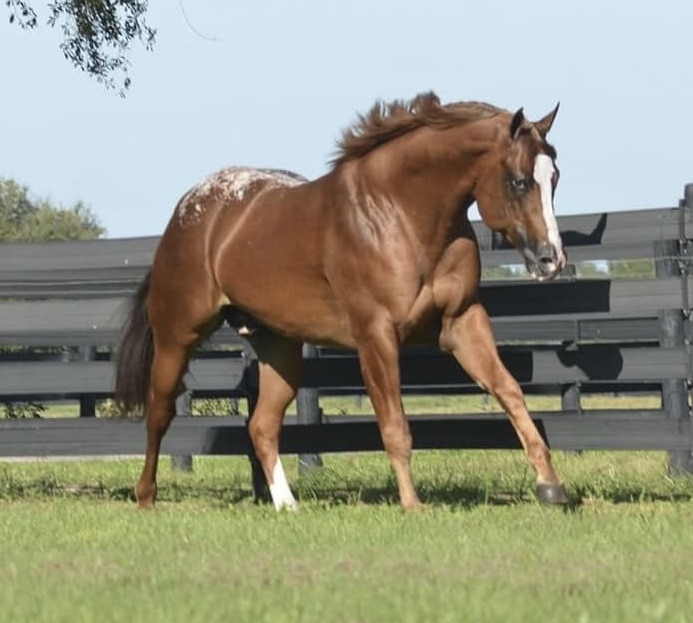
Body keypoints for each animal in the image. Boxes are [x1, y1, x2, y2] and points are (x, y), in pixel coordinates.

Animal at [115, 94, 568, 512]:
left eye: (555, 178)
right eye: (519, 181)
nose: (551, 260)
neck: (400, 213)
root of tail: (190, 210)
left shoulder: (463, 321)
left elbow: (509, 392)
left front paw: (551, 487)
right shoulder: (376, 337)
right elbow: (395, 424)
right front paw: (412, 505)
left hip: (279, 348)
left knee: (262, 425)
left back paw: (287, 506)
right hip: (178, 337)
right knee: (159, 411)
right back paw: (146, 497)